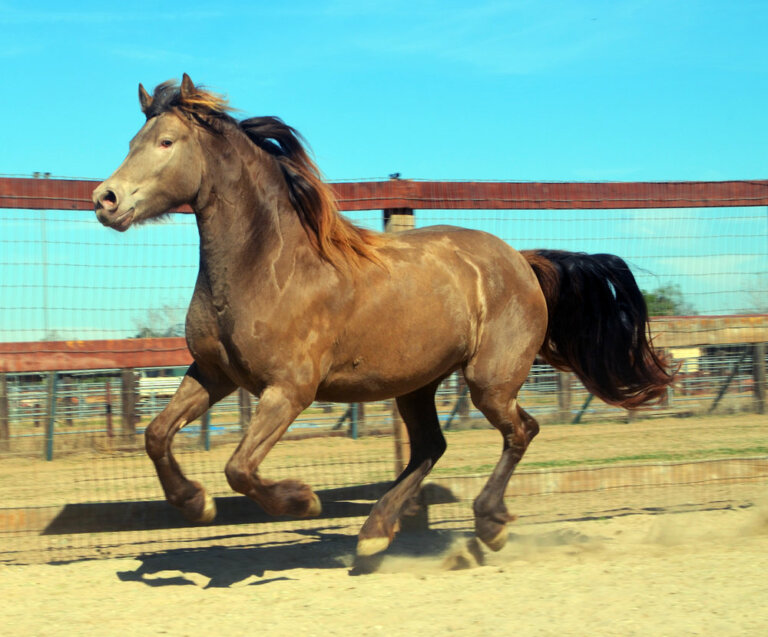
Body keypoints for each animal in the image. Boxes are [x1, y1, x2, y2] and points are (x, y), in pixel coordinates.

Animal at [93, 74, 673, 572]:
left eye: (166, 142)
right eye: (132, 140)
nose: (105, 199)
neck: (269, 266)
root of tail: (522, 262)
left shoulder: (290, 390)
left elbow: (239, 467)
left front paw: (302, 500)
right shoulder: (214, 374)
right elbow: (156, 435)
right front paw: (195, 504)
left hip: (488, 381)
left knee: (520, 431)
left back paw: (489, 525)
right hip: (417, 384)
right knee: (431, 447)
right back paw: (375, 534)